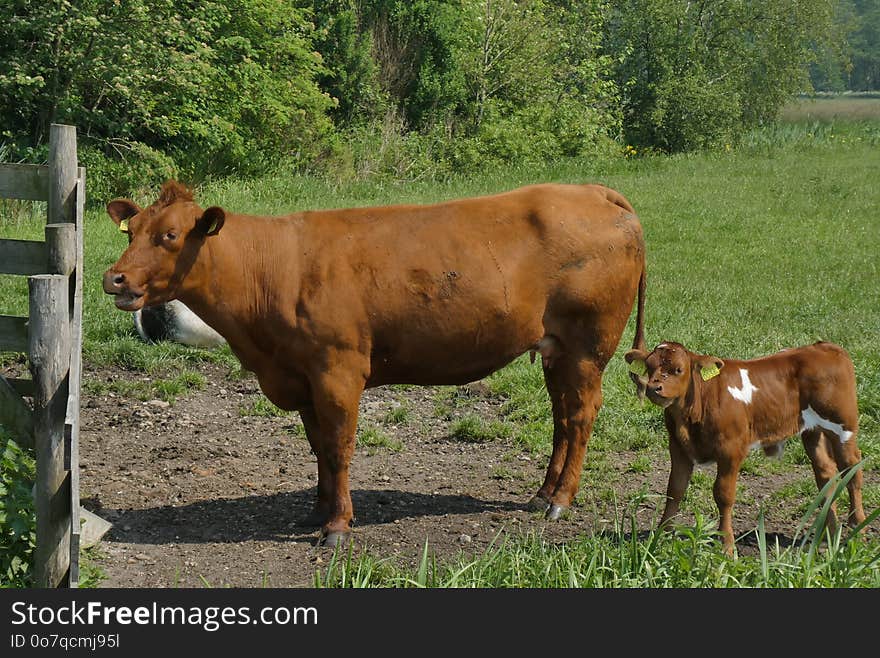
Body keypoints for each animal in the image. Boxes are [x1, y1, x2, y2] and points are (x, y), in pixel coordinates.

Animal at [106, 179, 648, 544]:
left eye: (171, 236)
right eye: (131, 231)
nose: (114, 278)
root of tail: (592, 191)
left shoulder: (338, 370)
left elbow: (340, 449)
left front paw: (338, 526)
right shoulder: (301, 376)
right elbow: (318, 449)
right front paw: (317, 511)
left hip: (587, 348)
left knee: (579, 417)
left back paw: (560, 501)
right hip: (556, 351)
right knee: (562, 418)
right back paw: (541, 495)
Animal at [624, 340, 868, 552]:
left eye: (678, 369)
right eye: (649, 367)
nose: (654, 388)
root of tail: (824, 346)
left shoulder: (731, 450)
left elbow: (723, 494)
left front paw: (727, 546)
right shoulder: (678, 448)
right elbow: (674, 490)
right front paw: (660, 536)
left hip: (844, 427)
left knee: (852, 470)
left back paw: (858, 527)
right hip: (812, 431)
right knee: (826, 474)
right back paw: (830, 530)